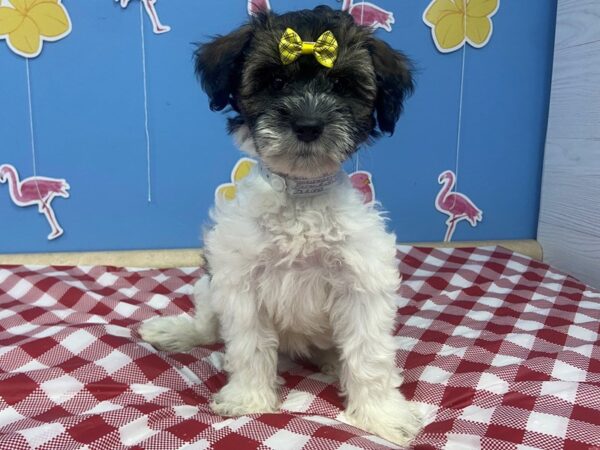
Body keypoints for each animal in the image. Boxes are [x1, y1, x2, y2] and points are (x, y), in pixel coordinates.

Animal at [141, 4, 422, 446]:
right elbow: (249, 345)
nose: (308, 125)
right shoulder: (239, 280)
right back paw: (174, 331)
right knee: (207, 324)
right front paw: (249, 401)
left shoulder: (363, 281)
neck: (301, 197)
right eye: (274, 80)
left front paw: (381, 416)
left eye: (342, 84)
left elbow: (369, 354)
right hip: (210, 282)